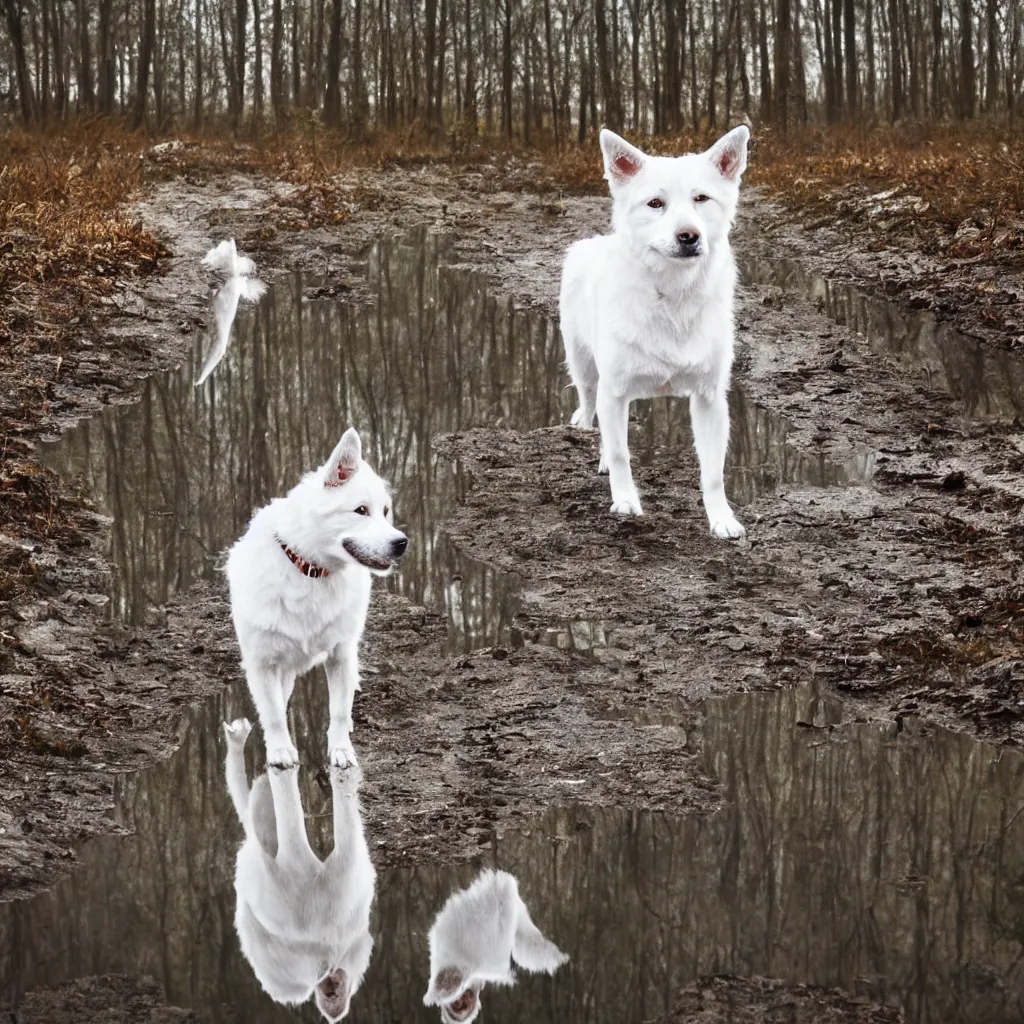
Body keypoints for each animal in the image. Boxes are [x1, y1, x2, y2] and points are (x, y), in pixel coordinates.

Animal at [228, 423, 407, 770]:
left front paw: (341, 751)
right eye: (361, 511)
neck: (310, 571)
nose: (401, 543)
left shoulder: (341, 654)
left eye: (385, 512)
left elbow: (337, 711)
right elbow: (273, 715)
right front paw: (280, 751)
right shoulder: (262, 662)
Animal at [561, 126, 753, 540]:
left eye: (701, 198)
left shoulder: (710, 398)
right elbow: (620, 453)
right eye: (655, 203)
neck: (673, 294)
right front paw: (625, 502)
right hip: (584, 369)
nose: (688, 236)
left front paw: (722, 519)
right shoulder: (614, 388)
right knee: (590, 408)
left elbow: (713, 472)